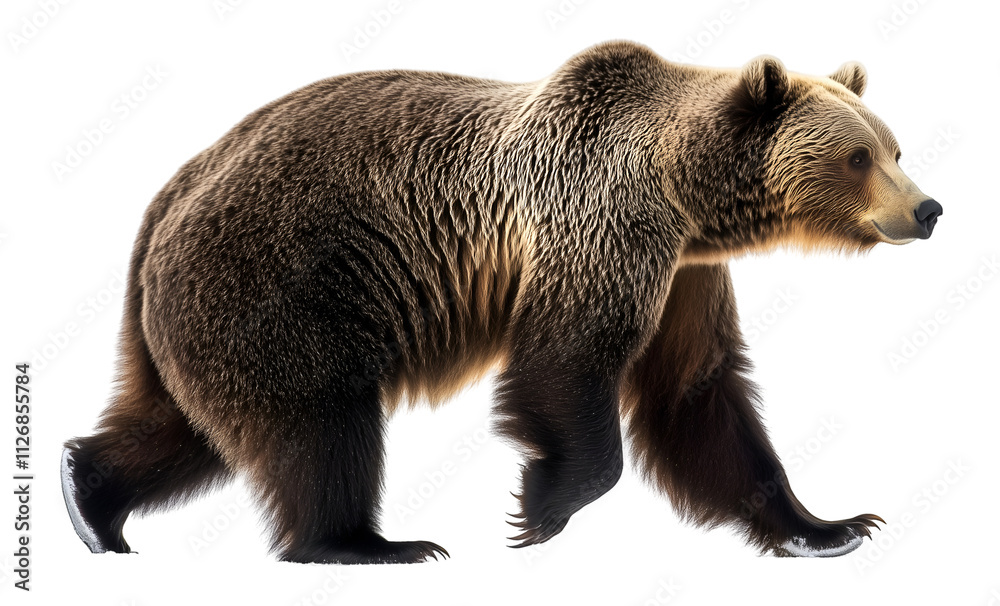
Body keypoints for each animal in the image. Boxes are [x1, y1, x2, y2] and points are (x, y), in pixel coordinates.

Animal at [62, 40, 941, 564]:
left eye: (895, 146)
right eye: (859, 156)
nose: (929, 209)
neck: (688, 198)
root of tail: (164, 202)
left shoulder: (688, 274)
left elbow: (699, 392)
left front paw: (828, 527)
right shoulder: (601, 217)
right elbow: (566, 357)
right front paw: (540, 507)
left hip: (189, 316)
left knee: (185, 427)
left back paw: (91, 501)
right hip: (279, 282)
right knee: (320, 423)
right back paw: (368, 544)